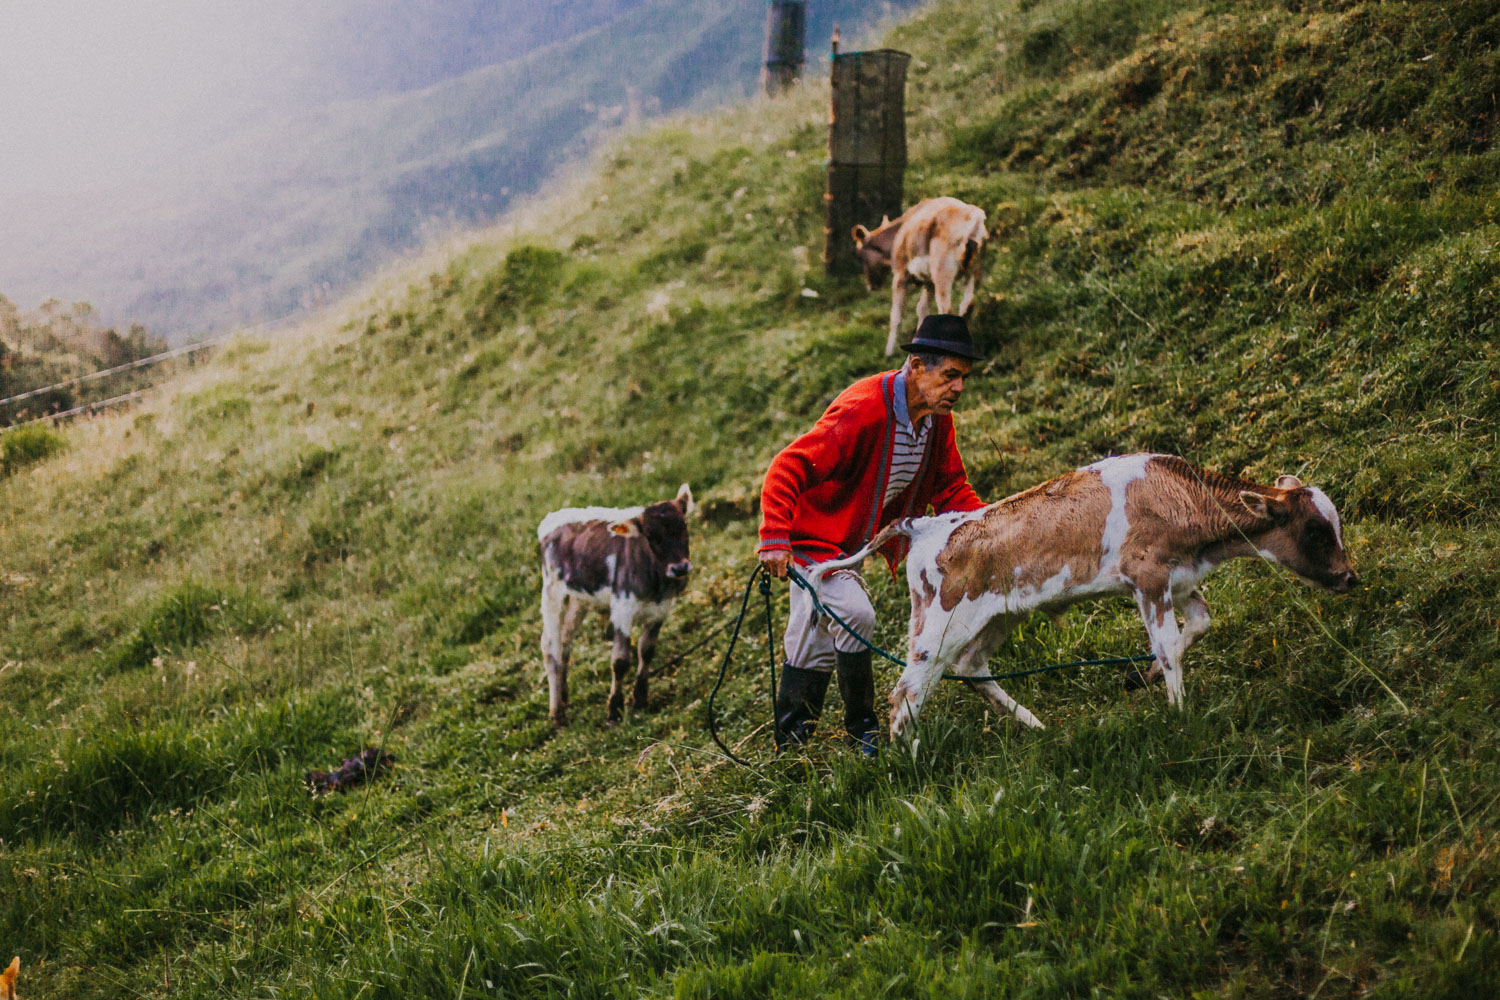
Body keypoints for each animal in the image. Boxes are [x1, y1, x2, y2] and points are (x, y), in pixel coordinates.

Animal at [537, 485, 693, 728]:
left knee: (565, 642)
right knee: (550, 647)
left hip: (579, 600)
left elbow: (646, 650)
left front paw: (640, 700)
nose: (679, 568)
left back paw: (564, 697)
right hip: (553, 591)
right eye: (652, 537)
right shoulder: (622, 609)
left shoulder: (661, 610)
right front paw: (614, 710)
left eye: (683, 526)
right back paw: (557, 714)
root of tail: (554, 517)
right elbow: (620, 661)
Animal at [810, 458, 1362, 740]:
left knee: (970, 668)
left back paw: (1034, 725)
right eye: (1315, 530)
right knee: (906, 695)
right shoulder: (1148, 579)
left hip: (995, 620)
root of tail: (923, 523)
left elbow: (1199, 627)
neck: (1175, 496)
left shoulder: (1181, 581)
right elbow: (1167, 645)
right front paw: (1181, 714)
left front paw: (1143, 677)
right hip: (938, 628)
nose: (1350, 578)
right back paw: (912, 765)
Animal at [858, 194, 984, 355]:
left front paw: (889, 352)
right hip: (974, 272)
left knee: (947, 310)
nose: (870, 286)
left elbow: (896, 315)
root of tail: (973, 218)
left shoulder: (900, 274)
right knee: (968, 305)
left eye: (860, 256)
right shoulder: (929, 282)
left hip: (942, 275)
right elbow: (923, 309)